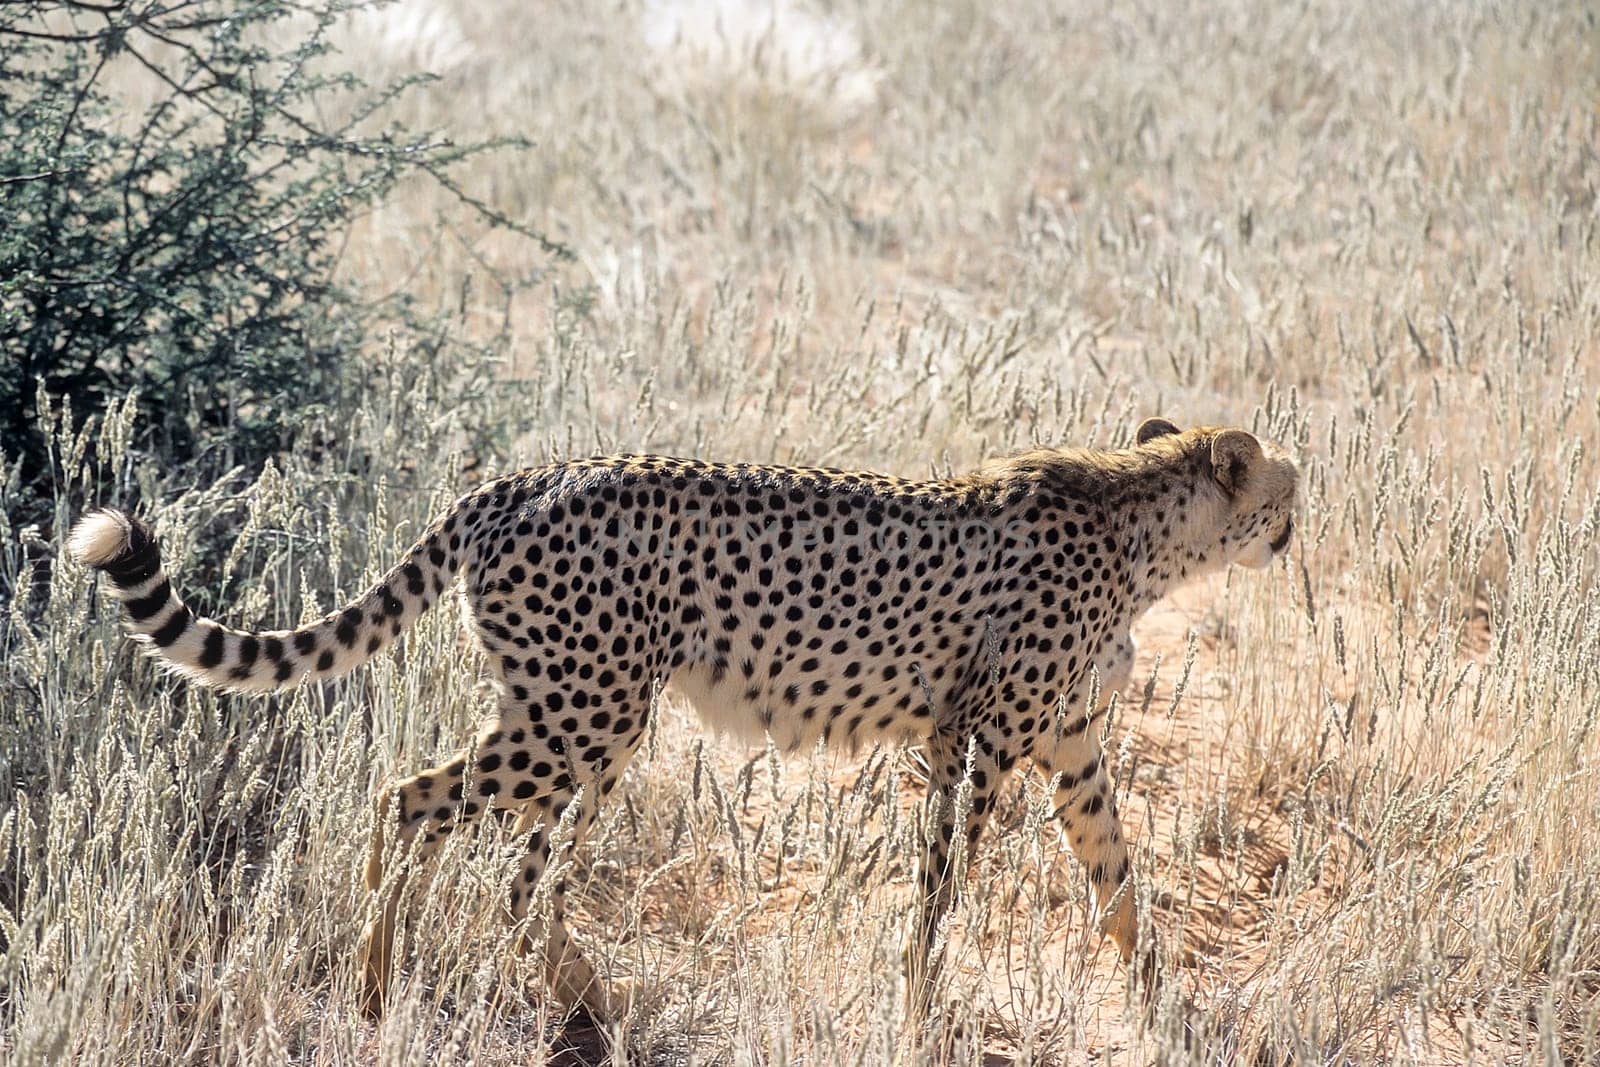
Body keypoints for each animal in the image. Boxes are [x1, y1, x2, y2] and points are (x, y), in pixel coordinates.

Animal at [72, 415, 1299, 1023]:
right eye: (1284, 493)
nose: (1299, 524)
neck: (1144, 522)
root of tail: (524, 477)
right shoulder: (978, 743)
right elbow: (943, 887)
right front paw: (921, 1008)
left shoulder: (1065, 743)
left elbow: (1120, 876)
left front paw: (1165, 1003)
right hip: (585, 716)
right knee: (417, 802)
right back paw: (387, 982)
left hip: (574, 717)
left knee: (514, 867)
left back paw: (558, 992)